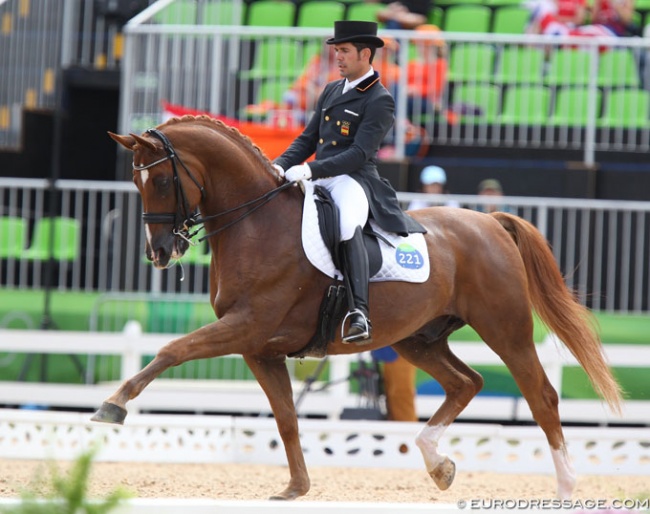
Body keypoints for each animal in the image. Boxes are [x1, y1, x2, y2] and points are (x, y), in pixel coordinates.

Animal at [92, 115, 624, 500]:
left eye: (162, 180)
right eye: (137, 183)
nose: (161, 252)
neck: (255, 222)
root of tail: (491, 222)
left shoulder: (246, 326)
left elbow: (172, 350)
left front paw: (113, 405)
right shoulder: (260, 347)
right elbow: (286, 417)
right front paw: (296, 488)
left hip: (504, 328)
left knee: (541, 396)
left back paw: (565, 486)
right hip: (418, 339)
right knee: (466, 382)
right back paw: (438, 464)